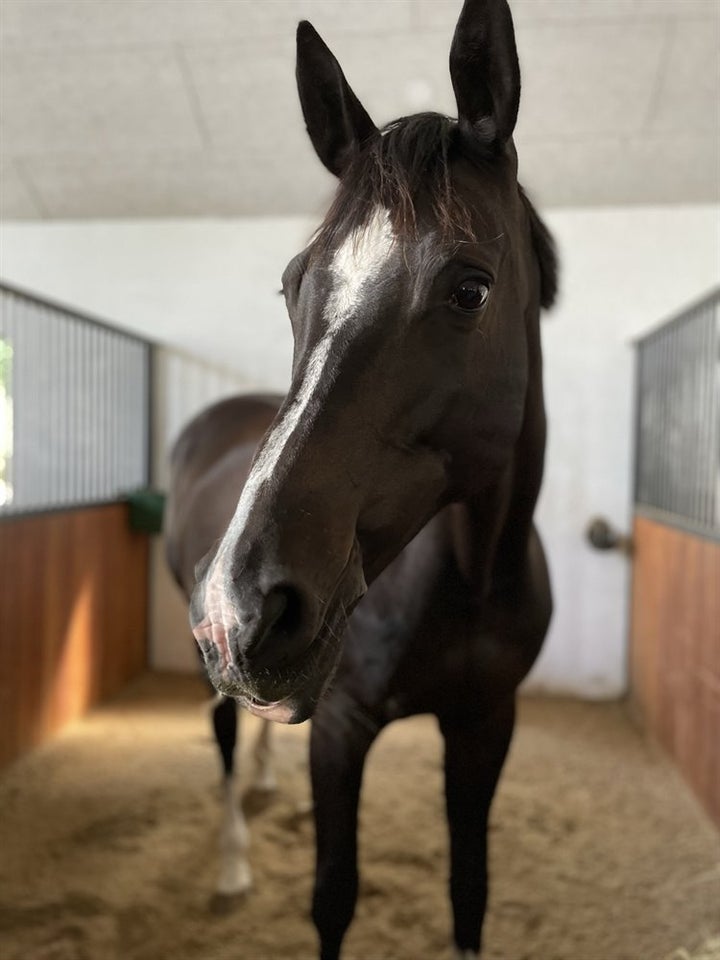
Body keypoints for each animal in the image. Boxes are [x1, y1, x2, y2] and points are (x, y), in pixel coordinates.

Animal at [167, 1, 556, 952]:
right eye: (291, 284)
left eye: (470, 289)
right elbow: (334, 895)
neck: (469, 574)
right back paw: (233, 863)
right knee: (223, 737)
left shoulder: (486, 723)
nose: (241, 610)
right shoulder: (341, 727)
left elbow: (469, 888)